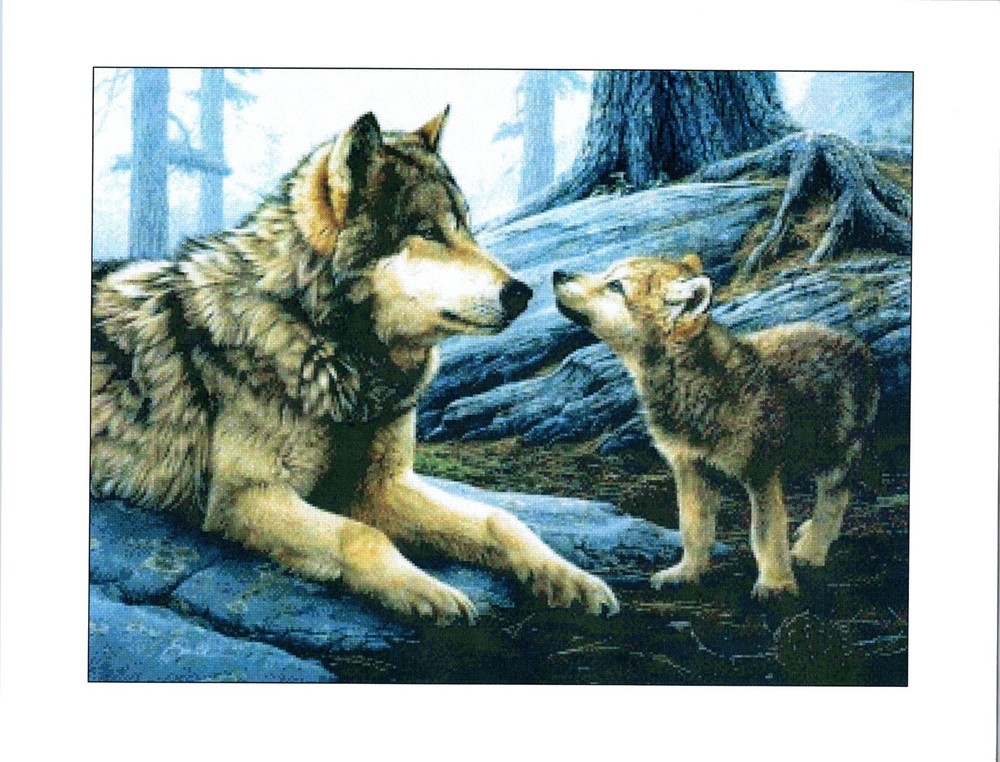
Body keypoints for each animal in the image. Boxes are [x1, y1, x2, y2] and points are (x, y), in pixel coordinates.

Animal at [92, 108, 618, 622]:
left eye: (467, 228)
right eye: (428, 232)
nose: (523, 292)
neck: (327, 344)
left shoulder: (380, 486)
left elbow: (499, 520)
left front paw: (570, 577)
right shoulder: (244, 497)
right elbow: (360, 534)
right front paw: (429, 593)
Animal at [552, 254, 879, 598]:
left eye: (616, 286)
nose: (557, 273)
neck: (691, 385)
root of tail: (856, 341)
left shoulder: (760, 472)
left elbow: (766, 533)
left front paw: (775, 584)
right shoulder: (688, 467)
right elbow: (693, 529)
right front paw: (687, 572)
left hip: (834, 457)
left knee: (833, 501)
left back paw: (810, 550)